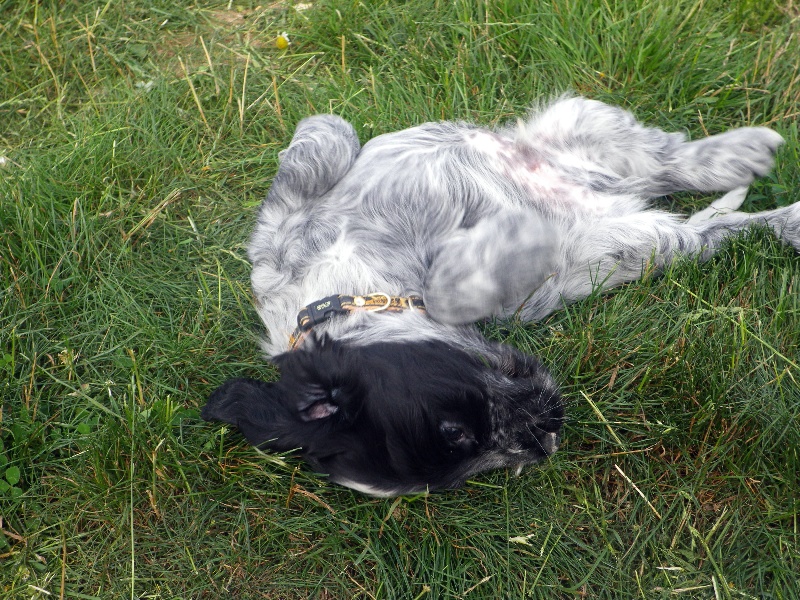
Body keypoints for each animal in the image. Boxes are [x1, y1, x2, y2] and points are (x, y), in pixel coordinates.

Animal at [201, 96, 799, 497]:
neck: (349, 291)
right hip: (638, 240)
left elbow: (319, 144)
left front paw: (332, 135)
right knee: (722, 226)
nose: (547, 438)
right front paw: (512, 236)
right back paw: (780, 213)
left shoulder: (281, 234)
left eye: (453, 431)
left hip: (586, 126)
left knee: (677, 161)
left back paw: (744, 152)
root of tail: (614, 194)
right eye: (469, 449)